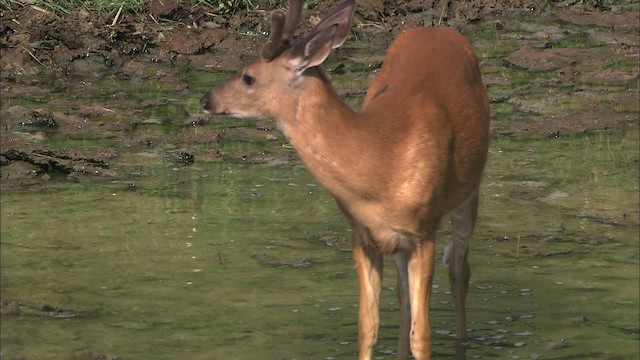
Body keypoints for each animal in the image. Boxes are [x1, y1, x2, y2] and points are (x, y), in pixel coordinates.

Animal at [201, 1, 490, 358]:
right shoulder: (362, 235)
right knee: (404, 297)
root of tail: (436, 29)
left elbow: (421, 335)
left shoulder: (423, 232)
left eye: (248, 76)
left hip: (468, 191)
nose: (206, 99)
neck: (380, 164)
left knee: (460, 272)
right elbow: (368, 327)